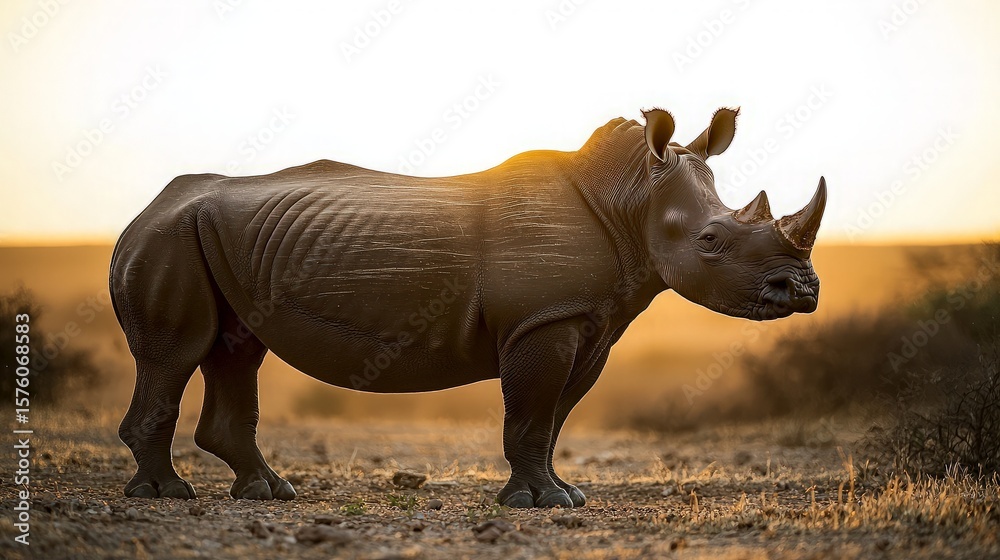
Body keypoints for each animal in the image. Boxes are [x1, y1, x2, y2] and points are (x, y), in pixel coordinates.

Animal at [110, 107, 825, 508]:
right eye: (710, 241)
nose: (803, 292)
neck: (629, 201)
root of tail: (142, 210)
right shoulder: (543, 320)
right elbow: (532, 413)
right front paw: (539, 504)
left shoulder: (588, 320)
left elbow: (554, 418)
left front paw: (565, 495)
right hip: (169, 239)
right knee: (176, 354)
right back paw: (165, 495)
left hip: (211, 239)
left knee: (235, 350)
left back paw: (268, 493)